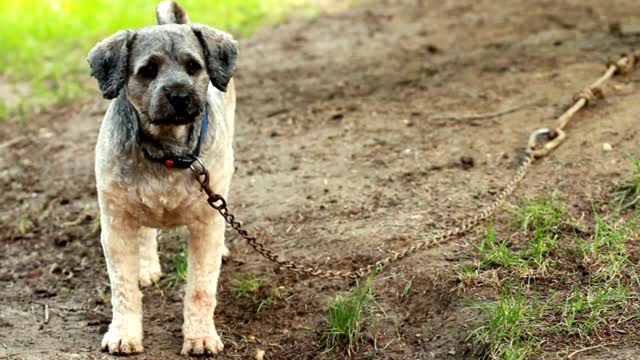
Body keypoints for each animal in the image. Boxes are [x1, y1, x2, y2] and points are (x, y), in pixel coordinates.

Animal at [89, 0, 239, 354]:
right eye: (147, 70)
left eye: (194, 66)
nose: (179, 96)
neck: (167, 150)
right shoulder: (115, 225)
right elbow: (123, 289)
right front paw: (124, 334)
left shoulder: (205, 225)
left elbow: (200, 288)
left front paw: (200, 336)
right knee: (144, 234)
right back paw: (145, 266)